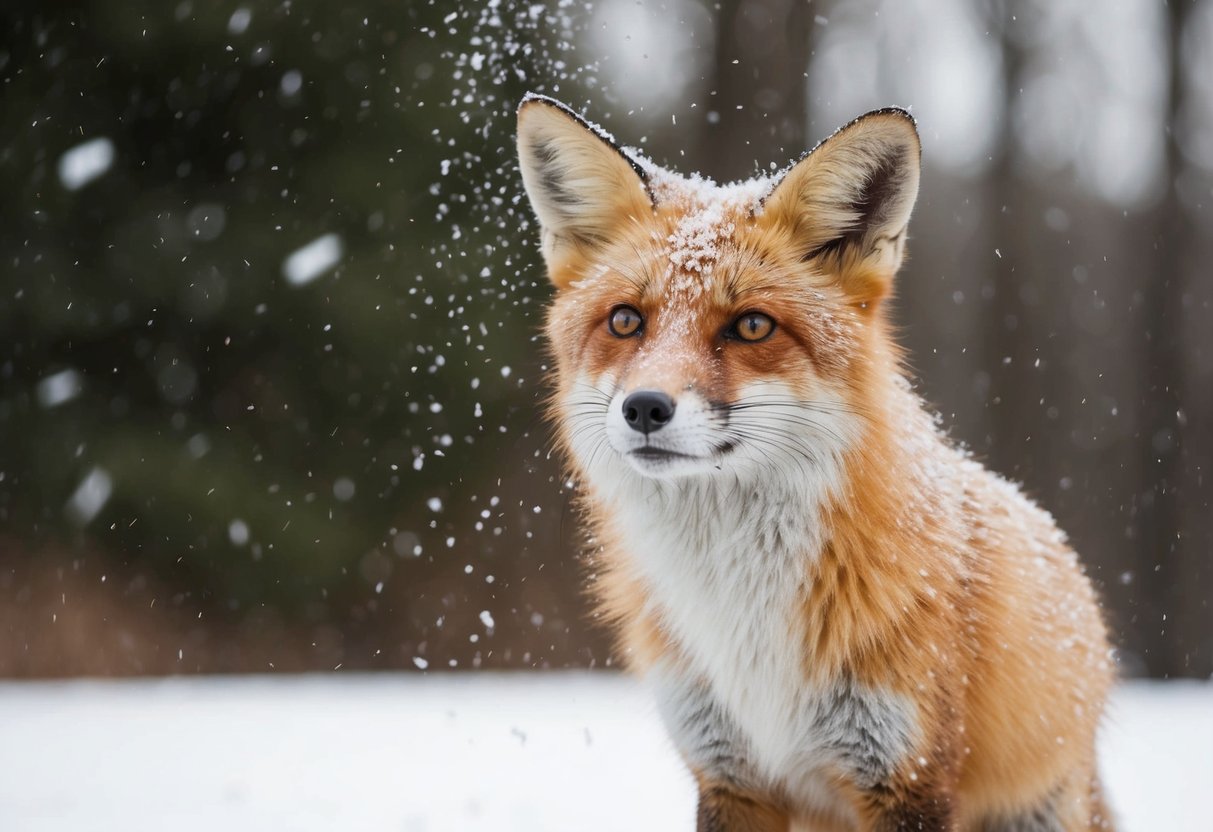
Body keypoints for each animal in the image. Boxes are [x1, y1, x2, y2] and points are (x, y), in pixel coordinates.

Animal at [516, 93, 1115, 831]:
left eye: (751, 326)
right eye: (625, 321)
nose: (645, 408)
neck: (740, 605)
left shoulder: (905, 773)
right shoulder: (729, 771)